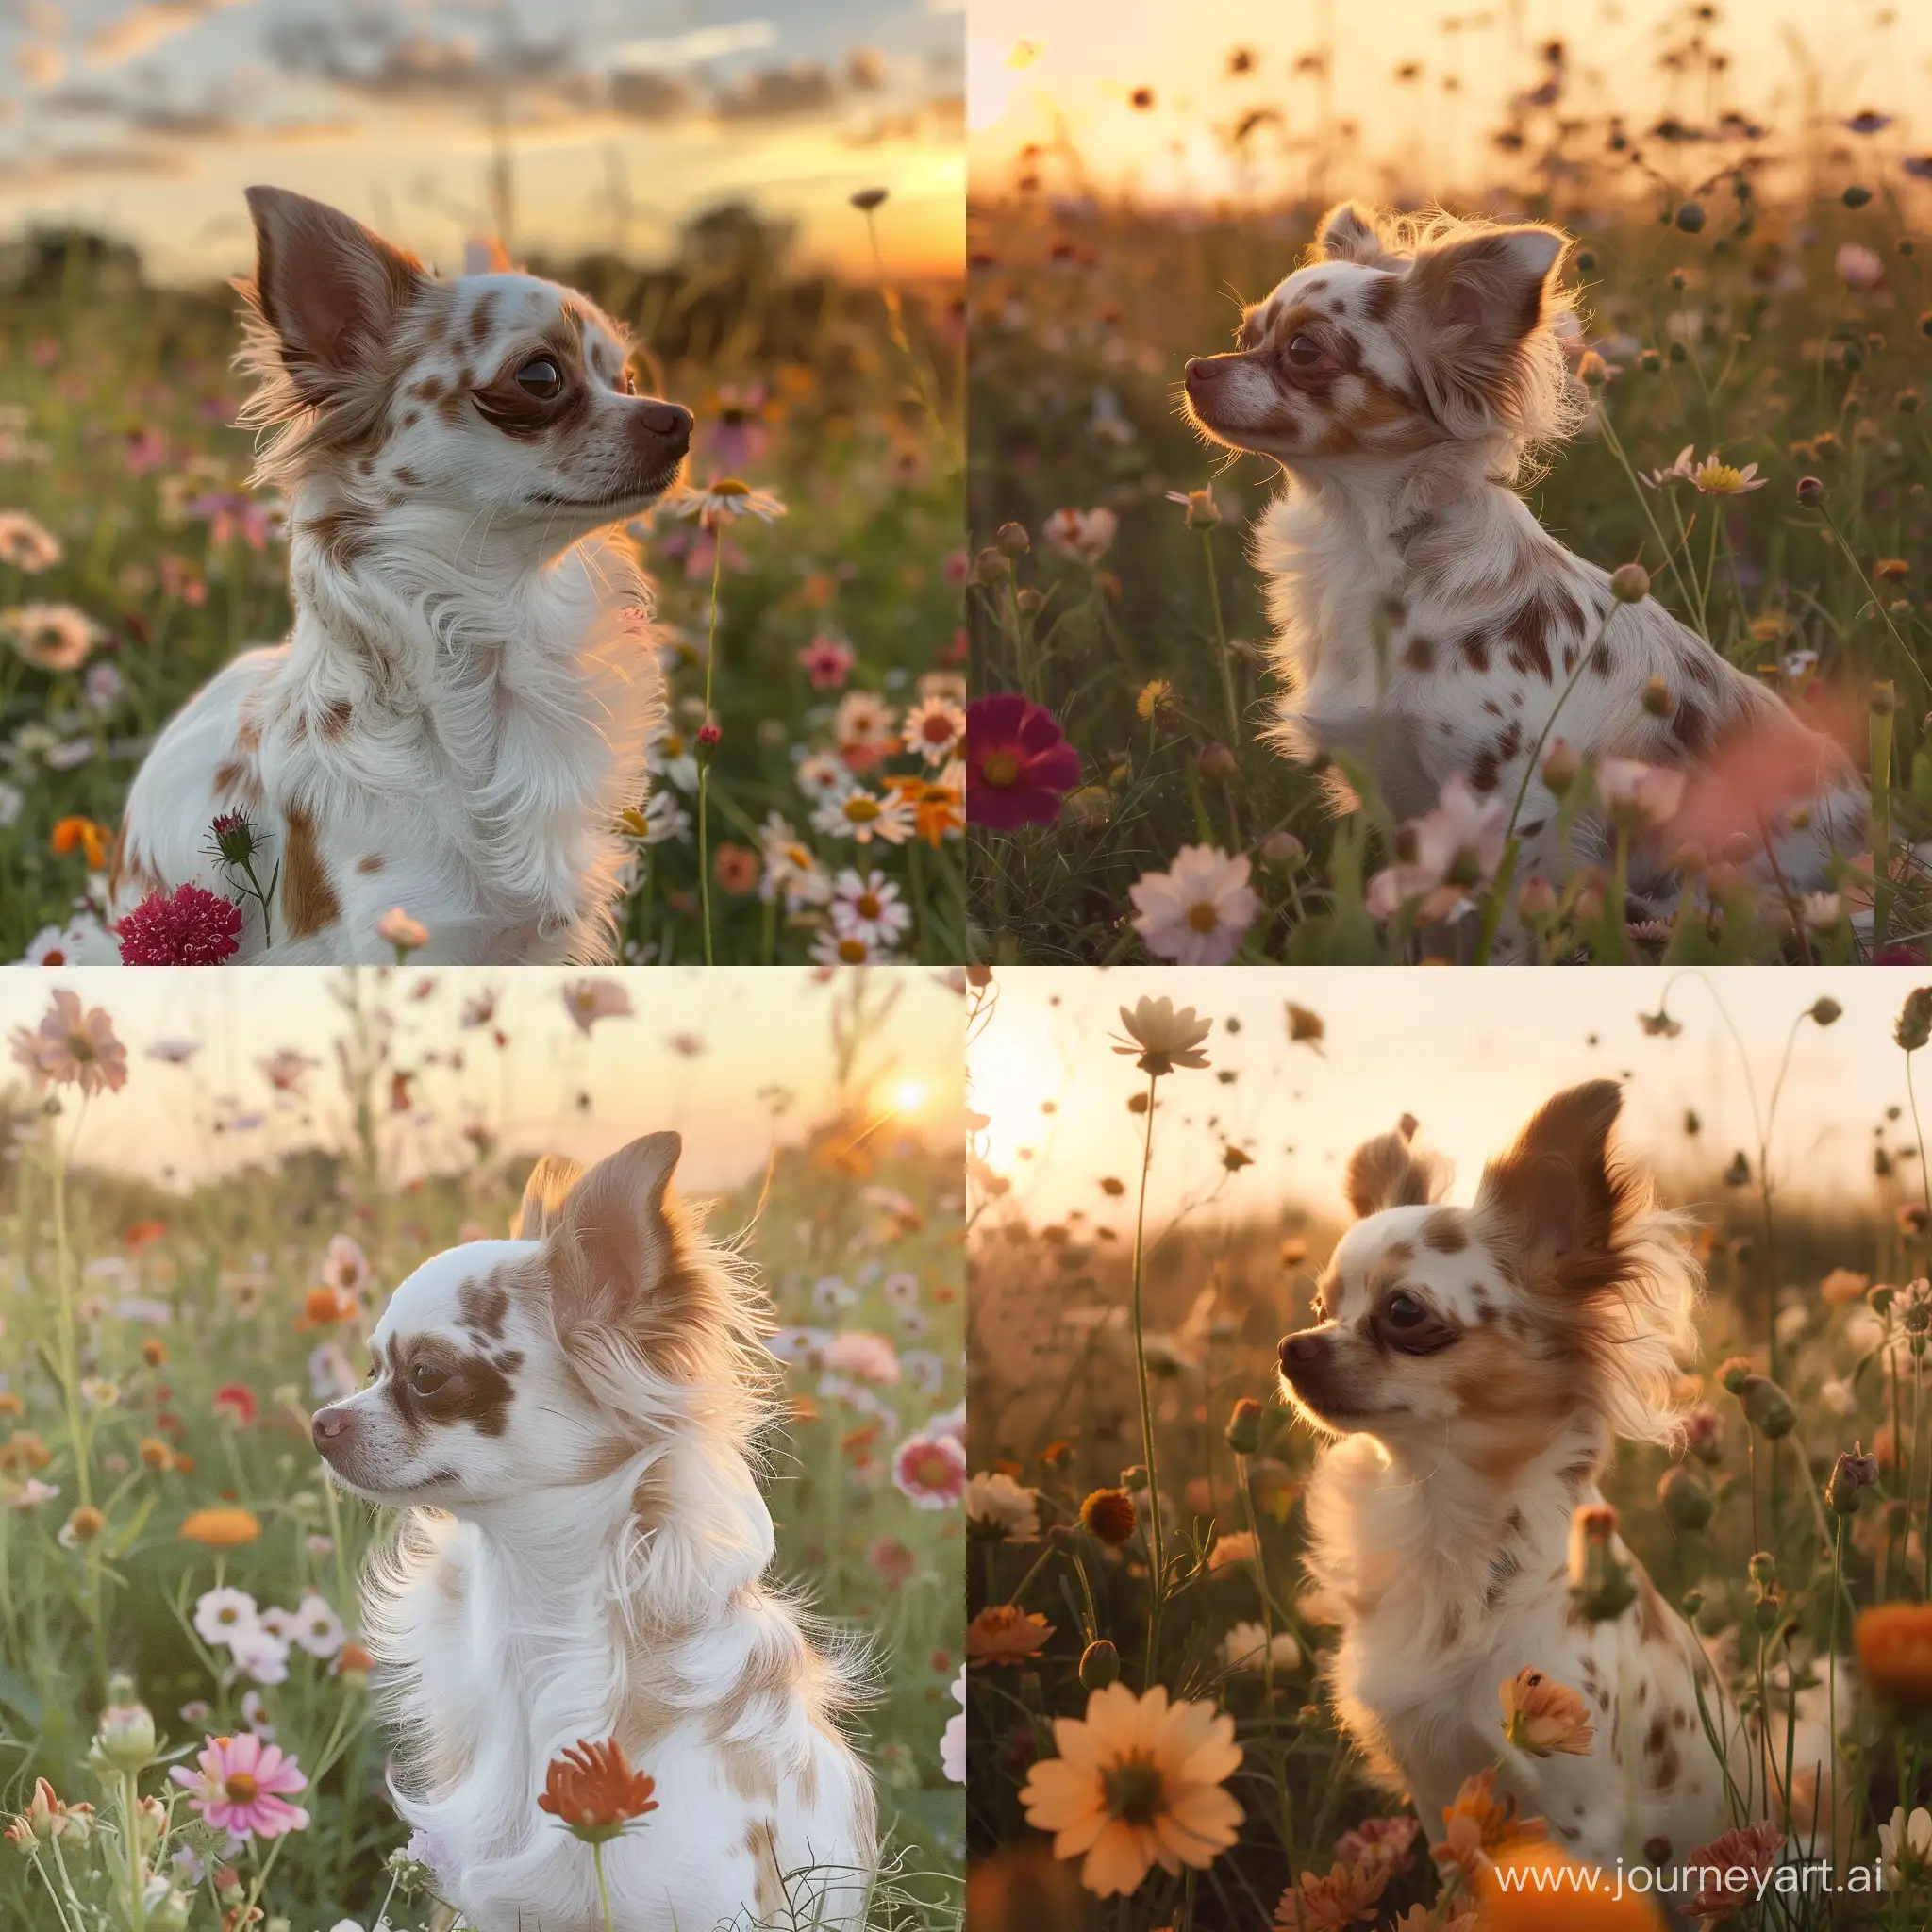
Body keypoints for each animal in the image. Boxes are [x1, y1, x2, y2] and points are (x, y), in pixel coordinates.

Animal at [1182, 199, 1862, 939]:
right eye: (1244, 333)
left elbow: (1502, 931)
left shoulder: (1512, 810)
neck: (1362, 537)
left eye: (1304, 351)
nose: (1196, 366)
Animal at [1282, 1097, 1824, 1877]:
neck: (1442, 1524)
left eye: (1404, 1312)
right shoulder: (1440, 1797)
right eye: (1321, 1308)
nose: (1290, 1348)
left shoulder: (1582, 1819)